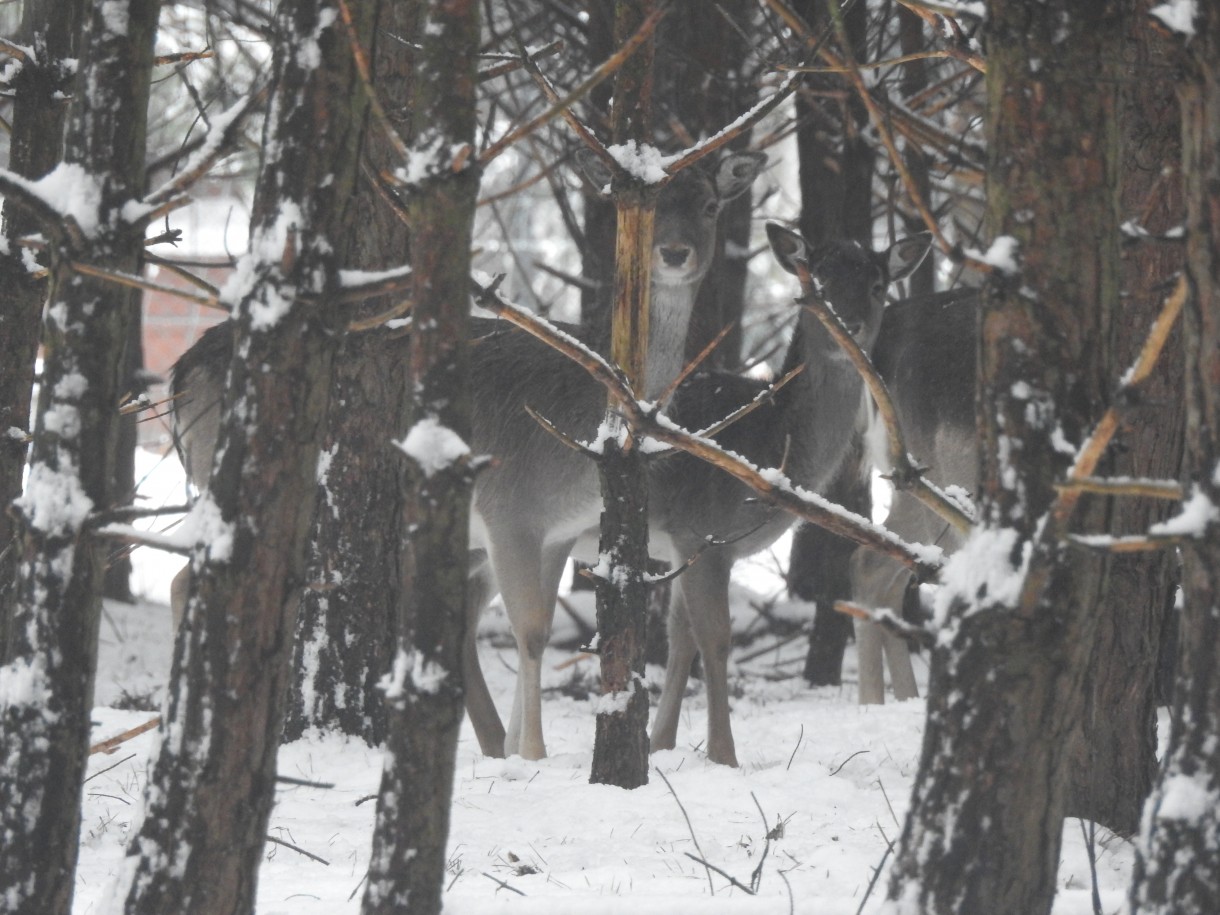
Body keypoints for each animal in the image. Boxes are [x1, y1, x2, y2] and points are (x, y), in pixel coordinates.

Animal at [169, 152, 771, 761]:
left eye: (710, 205)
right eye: (648, 211)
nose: (673, 253)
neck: (582, 448)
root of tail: (179, 374)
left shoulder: (555, 533)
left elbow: (537, 627)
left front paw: (514, 751)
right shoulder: (511, 509)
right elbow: (530, 631)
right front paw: (532, 755)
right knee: (188, 580)